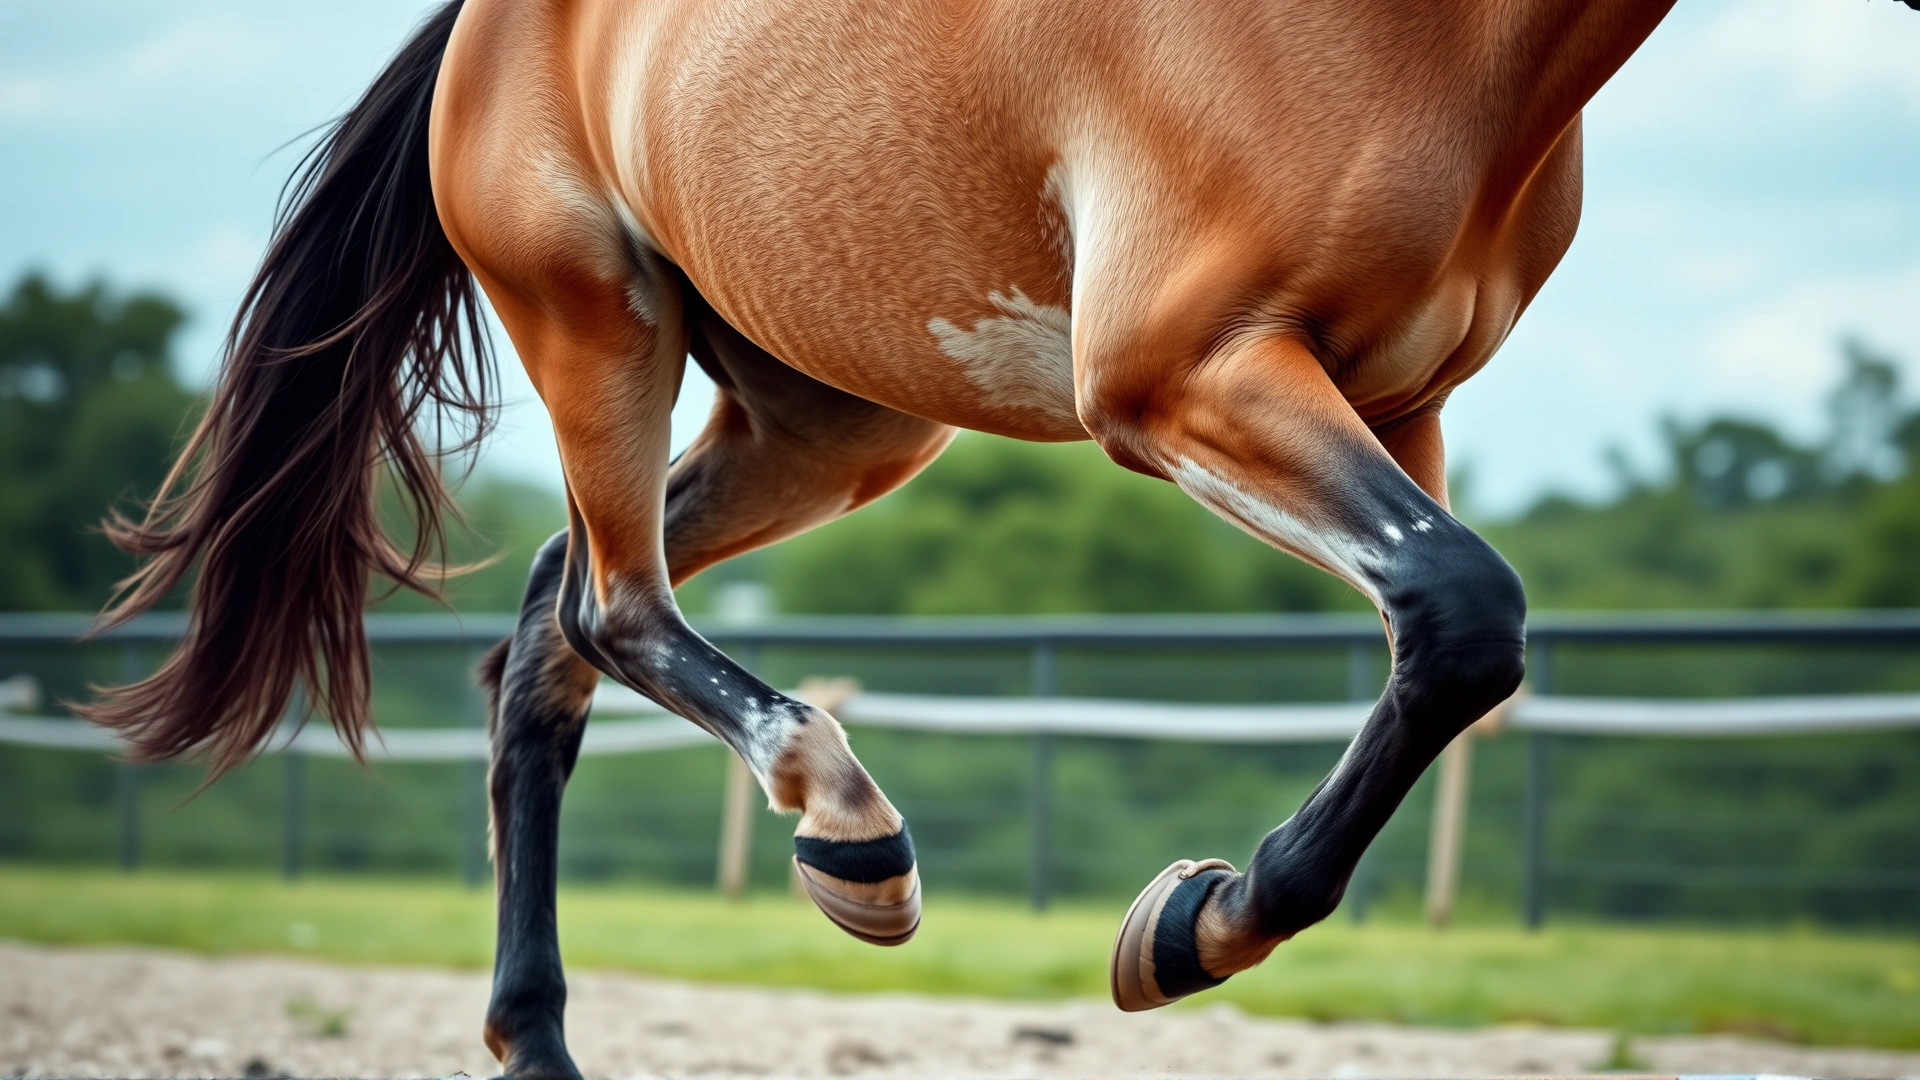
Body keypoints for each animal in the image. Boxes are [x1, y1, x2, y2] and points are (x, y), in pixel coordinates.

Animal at [80, 0, 1912, 1074]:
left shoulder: (1403, 410)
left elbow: (1434, 655)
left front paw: (1193, 923)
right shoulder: (1185, 377)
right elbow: (1462, 614)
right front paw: (1198, 922)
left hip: (835, 418)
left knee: (548, 624)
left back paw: (537, 1036)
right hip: (594, 318)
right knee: (610, 611)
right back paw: (850, 834)